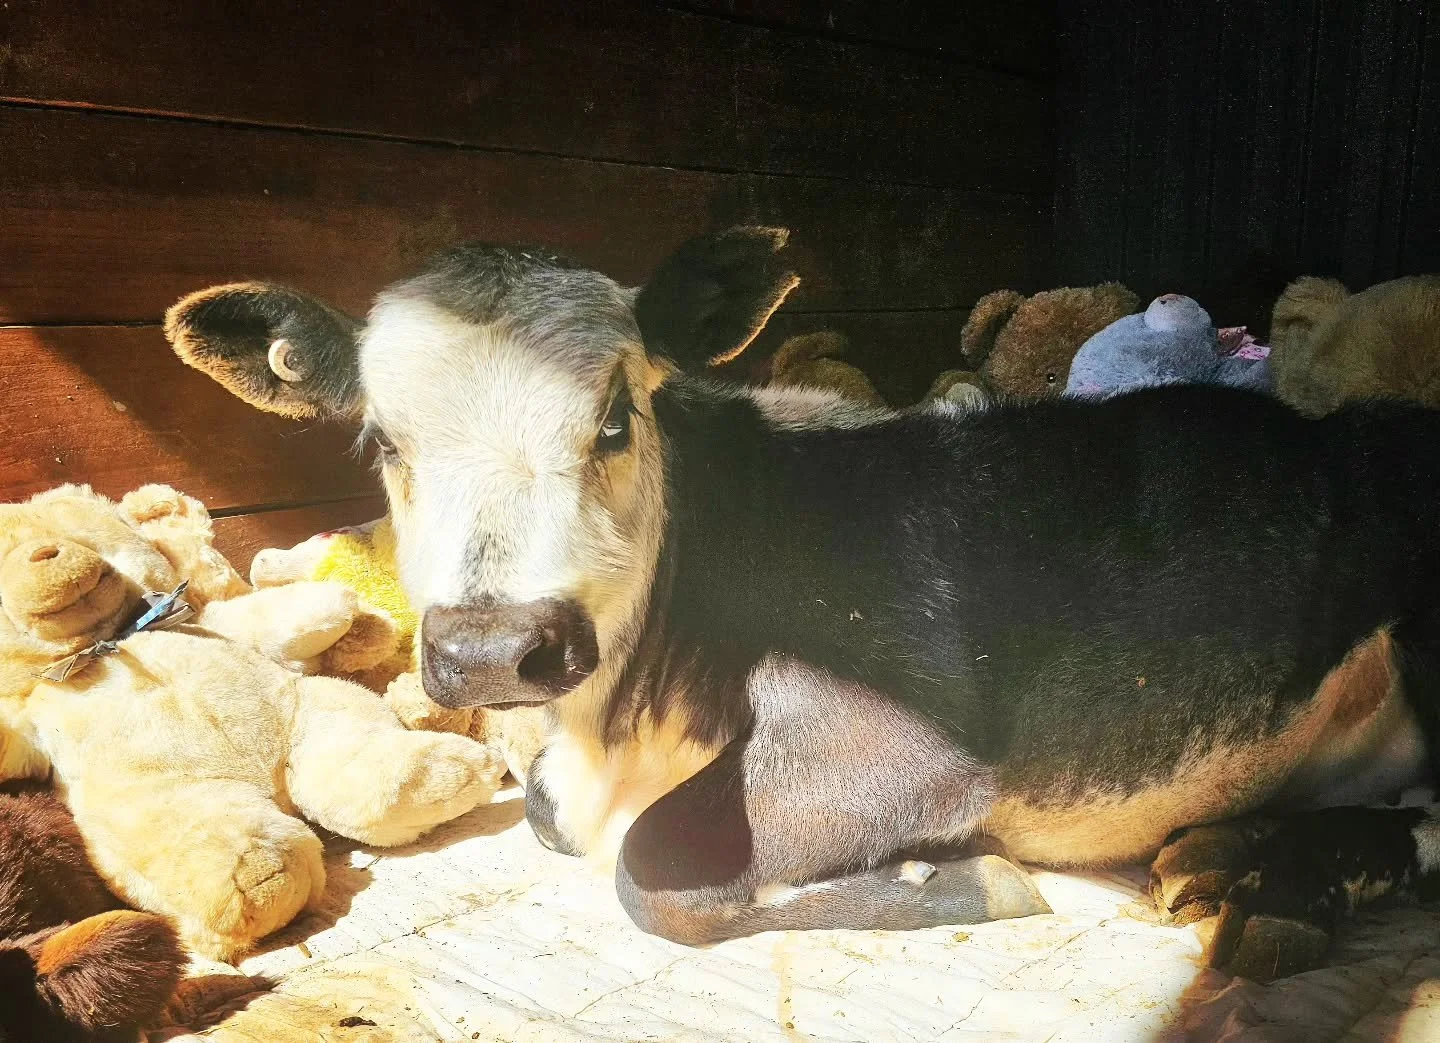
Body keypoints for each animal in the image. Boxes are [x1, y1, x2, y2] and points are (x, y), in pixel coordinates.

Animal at [165, 228, 1440, 982]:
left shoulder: (907, 749)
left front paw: (959, 875)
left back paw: (1300, 885)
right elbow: (552, 817)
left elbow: (652, 866)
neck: (616, 731)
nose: (493, 649)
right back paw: (1229, 863)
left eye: (616, 420)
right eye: (384, 441)